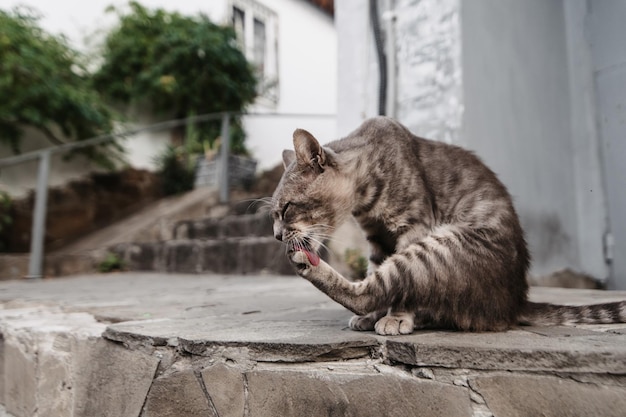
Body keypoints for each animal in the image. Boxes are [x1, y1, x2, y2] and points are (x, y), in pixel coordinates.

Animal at [270, 116, 624, 334]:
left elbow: (393, 289)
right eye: (274, 214)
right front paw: (374, 318)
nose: (276, 236)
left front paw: (395, 317)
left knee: (378, 289)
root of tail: (515, 303)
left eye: (286, 209)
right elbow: (375, 270)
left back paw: (307, 264)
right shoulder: (378, 239)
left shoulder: (413, 225)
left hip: (441, 246)